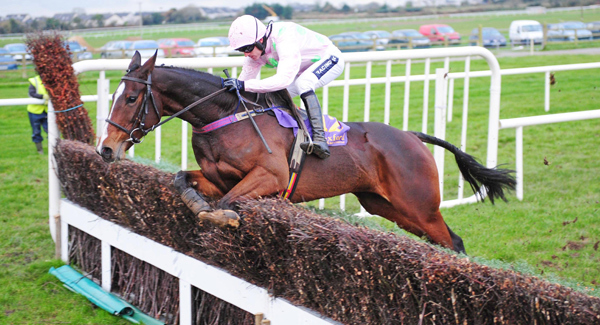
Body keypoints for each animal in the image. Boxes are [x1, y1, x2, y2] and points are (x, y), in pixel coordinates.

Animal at [97, 50, 516, 253]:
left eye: (131, 98)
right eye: (116, 94)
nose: (105, 149)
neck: (226, 118)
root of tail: (412, 136)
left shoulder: (269, 177)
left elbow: (228, 203)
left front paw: (222, 217)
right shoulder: (216, 178)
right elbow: (183, 180)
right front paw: (196, 203)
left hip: (419, 206)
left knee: (452, 242)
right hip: (389, 207)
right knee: (447, 242)